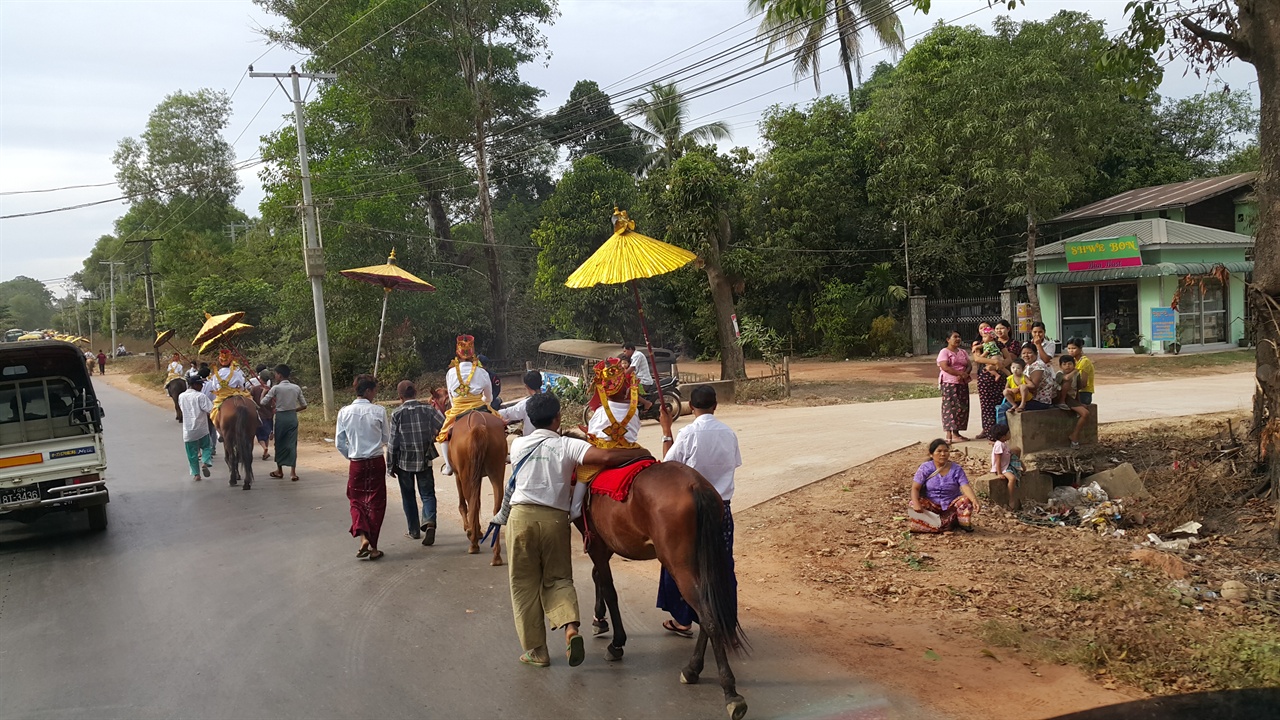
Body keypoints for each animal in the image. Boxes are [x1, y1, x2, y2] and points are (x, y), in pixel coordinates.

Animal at [448, 409, 506, 561]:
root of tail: (478, 424)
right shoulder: (478, 476)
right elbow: (478, 501)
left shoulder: (458, 475)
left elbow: (465, 504)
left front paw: (470, 529)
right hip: (497, 470)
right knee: (495, 508)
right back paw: (496, 555)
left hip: (465, 473)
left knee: (471, 502)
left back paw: (473, 542)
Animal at [583, 458, 747, 717]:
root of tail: (695, 485)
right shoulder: (604, 544)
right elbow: (597, 576)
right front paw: (600, 620)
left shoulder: (596, 543)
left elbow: (608, 588)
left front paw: (616, 642)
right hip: (703, 561)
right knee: (707, 611)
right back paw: (692, 669)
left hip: (678, 565)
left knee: (707, 615)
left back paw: (730, 692)